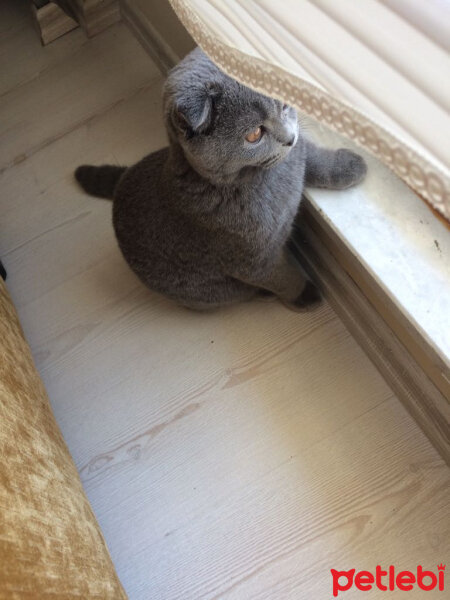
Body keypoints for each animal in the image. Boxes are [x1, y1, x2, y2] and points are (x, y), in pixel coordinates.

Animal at [74, 48, 366, 310]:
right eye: (254, 135)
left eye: (284, 104)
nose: (288, 138)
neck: (264, 176)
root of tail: (124, 179)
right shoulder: (253, 261)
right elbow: (282, 278)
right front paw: (304, 294)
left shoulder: (297, 155)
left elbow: (315, 159)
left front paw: (351, 166)